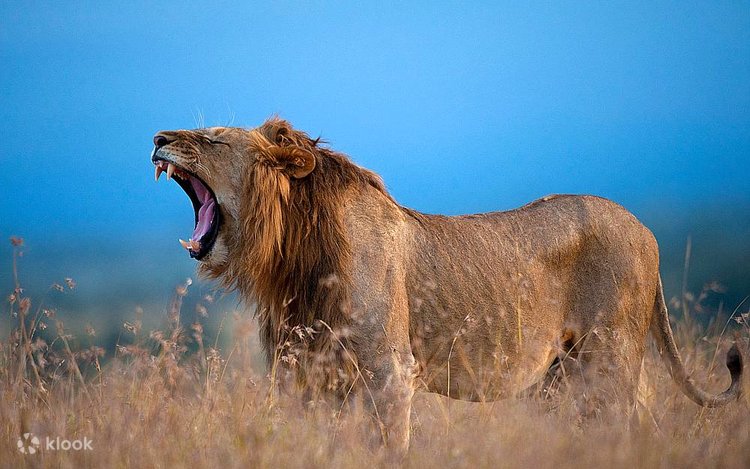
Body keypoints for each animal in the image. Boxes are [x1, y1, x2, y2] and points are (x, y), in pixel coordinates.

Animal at [150, 117, 743, 455]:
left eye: (210, 138)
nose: (157, 139)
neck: (292, 256)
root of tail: (648, 231)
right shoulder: (307, 378)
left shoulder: (390, 374)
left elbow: (390, 450)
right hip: (564, 377)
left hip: (608, 363)